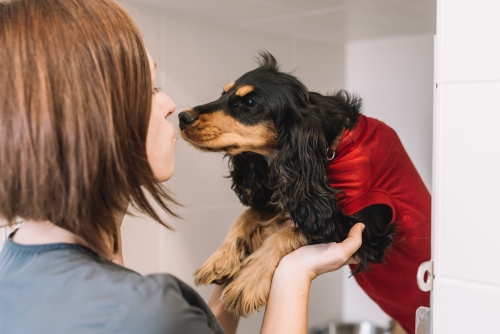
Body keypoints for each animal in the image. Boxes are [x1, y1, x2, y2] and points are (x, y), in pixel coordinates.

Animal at [178, 51, 432, 332]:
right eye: (223, 94)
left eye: (250, 103)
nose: (182, 117)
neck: (328, 147)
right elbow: (247, 215)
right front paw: (219, 260)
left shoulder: (365, 230)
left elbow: (288, 233)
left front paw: (249, 283)